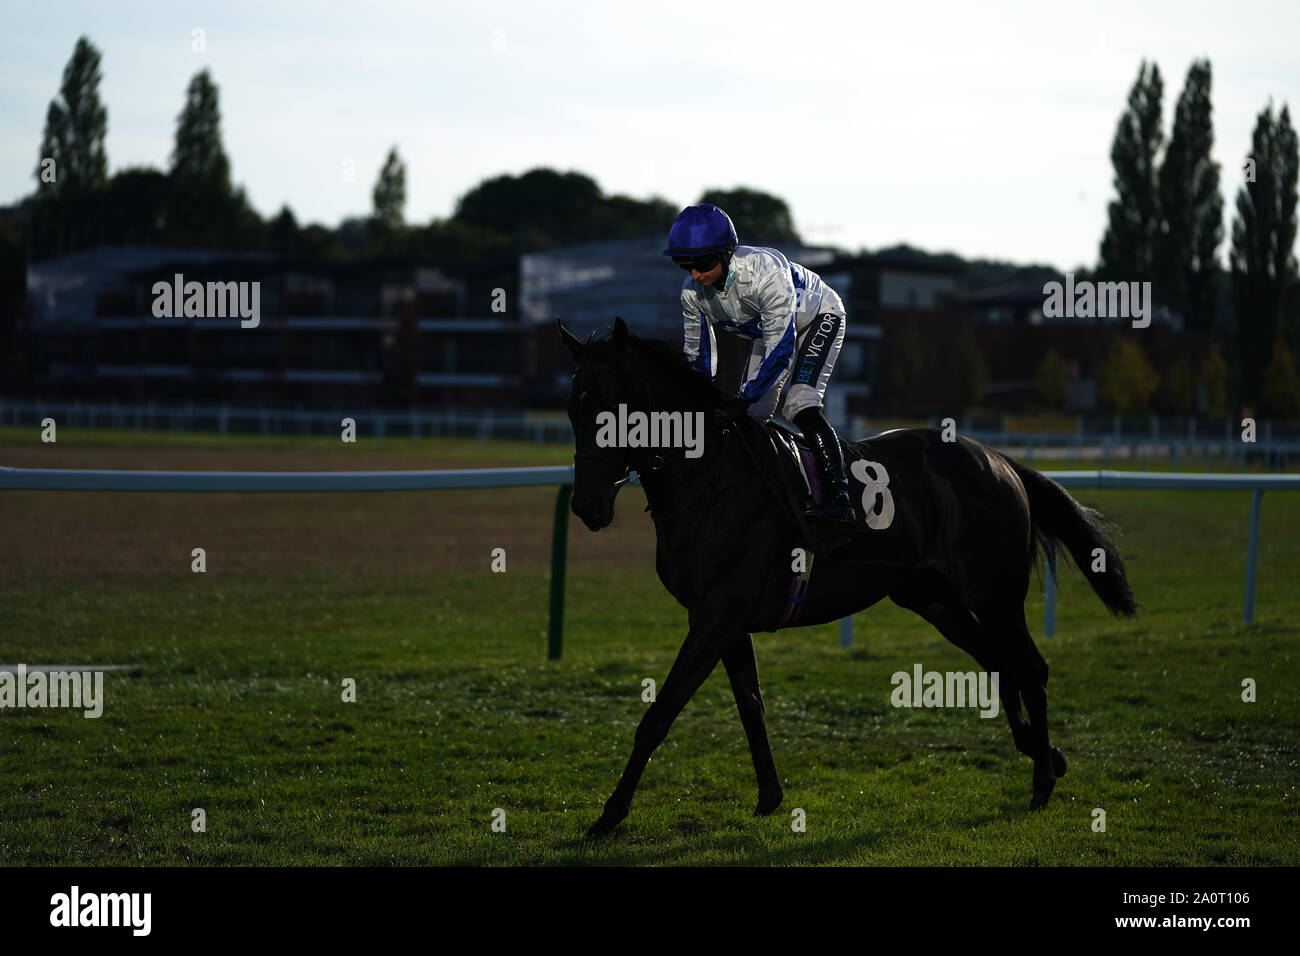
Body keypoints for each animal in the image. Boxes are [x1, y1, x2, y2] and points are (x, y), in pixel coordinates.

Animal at [561, 316, 1138, 837]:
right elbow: (751, 706)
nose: (587, 505)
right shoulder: (726, 621)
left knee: (1030, 668)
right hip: (933, 598)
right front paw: (769, 796)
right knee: (999, 664)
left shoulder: (716, 616)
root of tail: (1000, 460)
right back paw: (1046, 753)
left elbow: (659, 715)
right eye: (573, 408)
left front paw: (610, 815)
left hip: (994, 593)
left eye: (612, 408)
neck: (709, 478)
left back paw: (1042, 780)